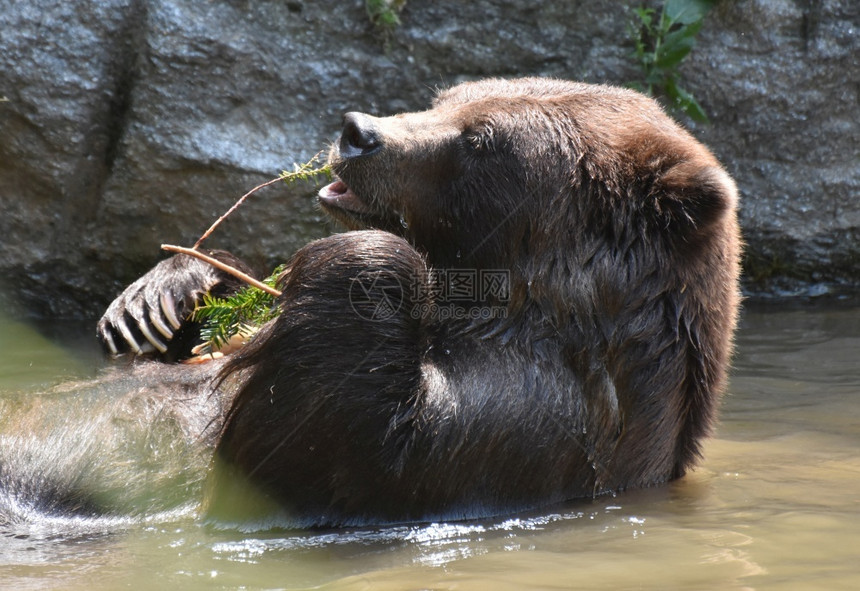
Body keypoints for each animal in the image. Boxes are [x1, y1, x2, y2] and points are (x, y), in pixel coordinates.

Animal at [94, 75, 744, 528]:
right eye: (446, 97)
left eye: (483, 140)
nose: (357, 131)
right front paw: (160, 299)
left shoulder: (534, 424)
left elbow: (330, 459)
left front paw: (369, 259)